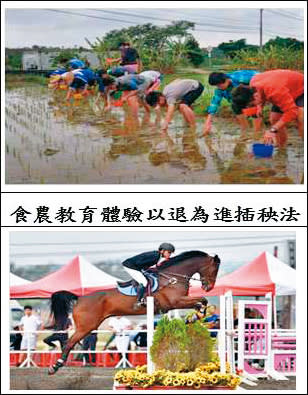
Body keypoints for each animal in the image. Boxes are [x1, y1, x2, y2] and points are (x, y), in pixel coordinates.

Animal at [48, 252, 220, 376]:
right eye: (214, 269)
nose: (209, 287)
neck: (173, 277)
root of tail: (79, 298)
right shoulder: (175, 302)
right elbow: (202, 300)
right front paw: (196, 315)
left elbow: (202, 302)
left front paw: (194, 317)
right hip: (86, 326)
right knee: (69, 343)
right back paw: (55, 366)